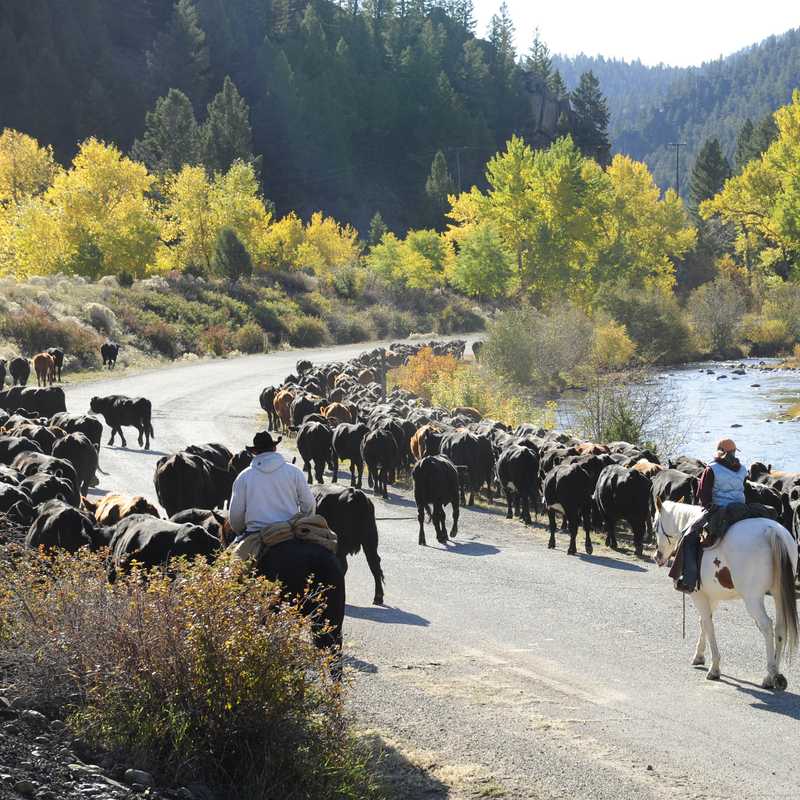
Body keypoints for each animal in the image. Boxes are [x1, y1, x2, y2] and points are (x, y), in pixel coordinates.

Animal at [653, 500, 798, 690]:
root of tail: (771, 531)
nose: (657, 556)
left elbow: (708, 624)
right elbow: (704, 622)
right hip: (779, 594)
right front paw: (699, 656)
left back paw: (772, 673)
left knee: (766, 626)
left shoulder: (698, 595)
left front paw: (714, 668)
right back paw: (771, 675)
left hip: (753, 598)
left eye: (655, 525)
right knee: (780, 628)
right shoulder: (712, 596)